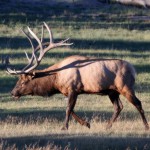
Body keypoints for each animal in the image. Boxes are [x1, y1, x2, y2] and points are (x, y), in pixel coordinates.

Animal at [6, 22, 149, 130]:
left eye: (23, 82)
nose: (12, 92)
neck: (56, 80)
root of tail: (133, 69)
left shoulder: (73, 88)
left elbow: (68, 108)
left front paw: (64, 127)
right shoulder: (69, 91)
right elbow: (71, 109)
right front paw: (87, 123)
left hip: (126, 87)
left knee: (138, 103)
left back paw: (146, 126)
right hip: (112, 91)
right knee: (118, 107)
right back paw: (107, 126)